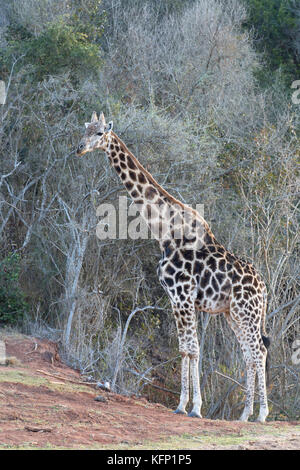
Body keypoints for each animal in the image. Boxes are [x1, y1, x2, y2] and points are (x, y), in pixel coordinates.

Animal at [76, 113, 270, 422]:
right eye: (83, 129)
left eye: (98, 132)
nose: (79, 148)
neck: (163, 231)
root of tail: (264, 289)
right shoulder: (176, 298)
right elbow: (185, 349)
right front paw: (186, 405)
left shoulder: (182, 295)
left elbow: (191, 349)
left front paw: (192, 407)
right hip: (233, 314)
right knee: (249, 354)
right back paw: (244, 415)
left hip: (246, 312)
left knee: (259, 351)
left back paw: (261, 414)